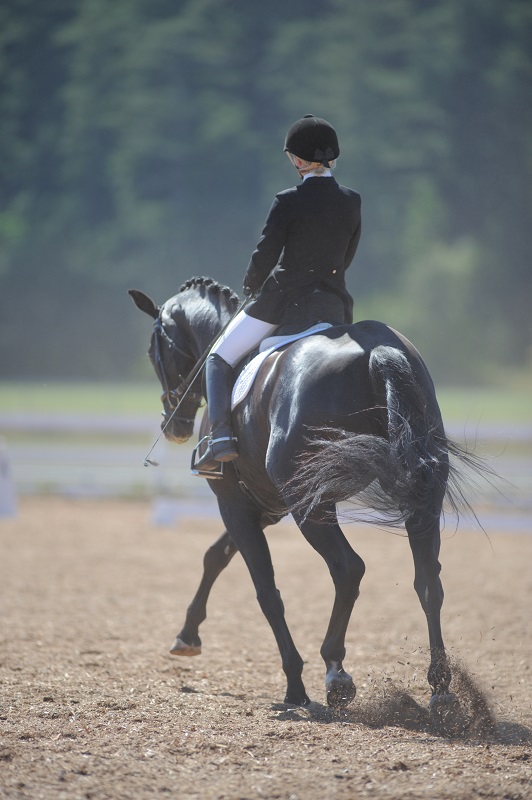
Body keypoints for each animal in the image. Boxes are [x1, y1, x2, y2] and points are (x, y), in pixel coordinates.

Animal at [129, 276, 481, 714]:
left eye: (153, 350)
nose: (174, 424)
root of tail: (377, 347)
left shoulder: (235, 503)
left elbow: (266, 590)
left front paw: (294, 686)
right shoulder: (263, 506)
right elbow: (216, 556)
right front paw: (187, 635)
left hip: (311, 506)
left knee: (348, 569)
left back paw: (335, 674)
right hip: (420, 495)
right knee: (428, 581)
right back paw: (441, 690)